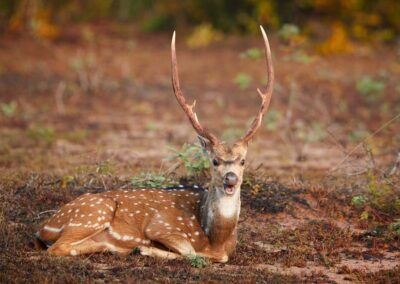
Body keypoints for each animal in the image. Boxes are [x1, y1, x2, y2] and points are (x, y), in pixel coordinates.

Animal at [34, 25, 274, 262]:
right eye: (215, 161)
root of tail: (43, 227)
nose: (230, 178)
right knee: (57, 248)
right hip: (92, 213)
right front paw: (146, 248)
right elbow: (190, 251)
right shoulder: (161, 225)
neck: (216, 240)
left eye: (243, 161)